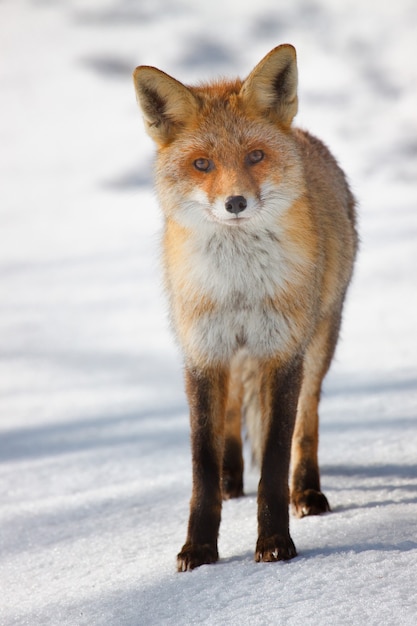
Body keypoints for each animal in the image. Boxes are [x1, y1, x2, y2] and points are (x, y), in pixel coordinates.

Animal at [133, 45, 358, 572]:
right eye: (202, 164)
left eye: (255, 156)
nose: (235, 202)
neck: (238, 287)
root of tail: (305, 135)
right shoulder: (202, 353)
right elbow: (202, 465)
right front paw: (199, 549)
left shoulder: (283, 352)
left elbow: (274, 460)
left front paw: (275, 541)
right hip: (232, 352)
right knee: (233, 414)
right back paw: (231, 480)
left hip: (318, 342)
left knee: (307, 423)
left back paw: (307, 490)